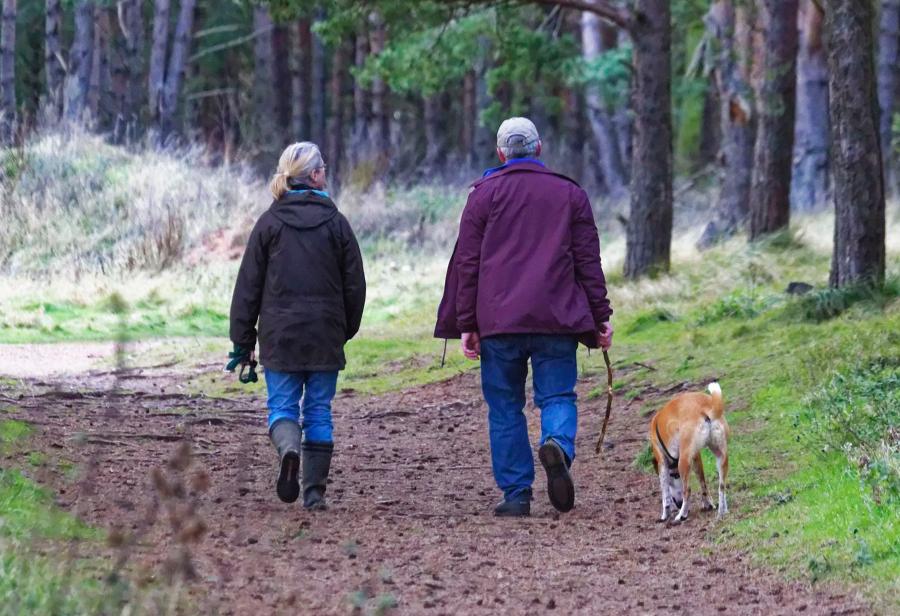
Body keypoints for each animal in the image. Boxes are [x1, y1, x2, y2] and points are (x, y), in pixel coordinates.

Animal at [644, 382, 728, 524]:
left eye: (674, 477)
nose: (678, 504)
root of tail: (704, 407)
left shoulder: (662, 462)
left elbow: (665, 494)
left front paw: (665, 515)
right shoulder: (696, 457)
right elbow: (703, 484)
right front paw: (708, 504)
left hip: (683, 462)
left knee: (687, 491)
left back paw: (681, 515)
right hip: (721, 456)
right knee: (722, 486)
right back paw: (722, 512)